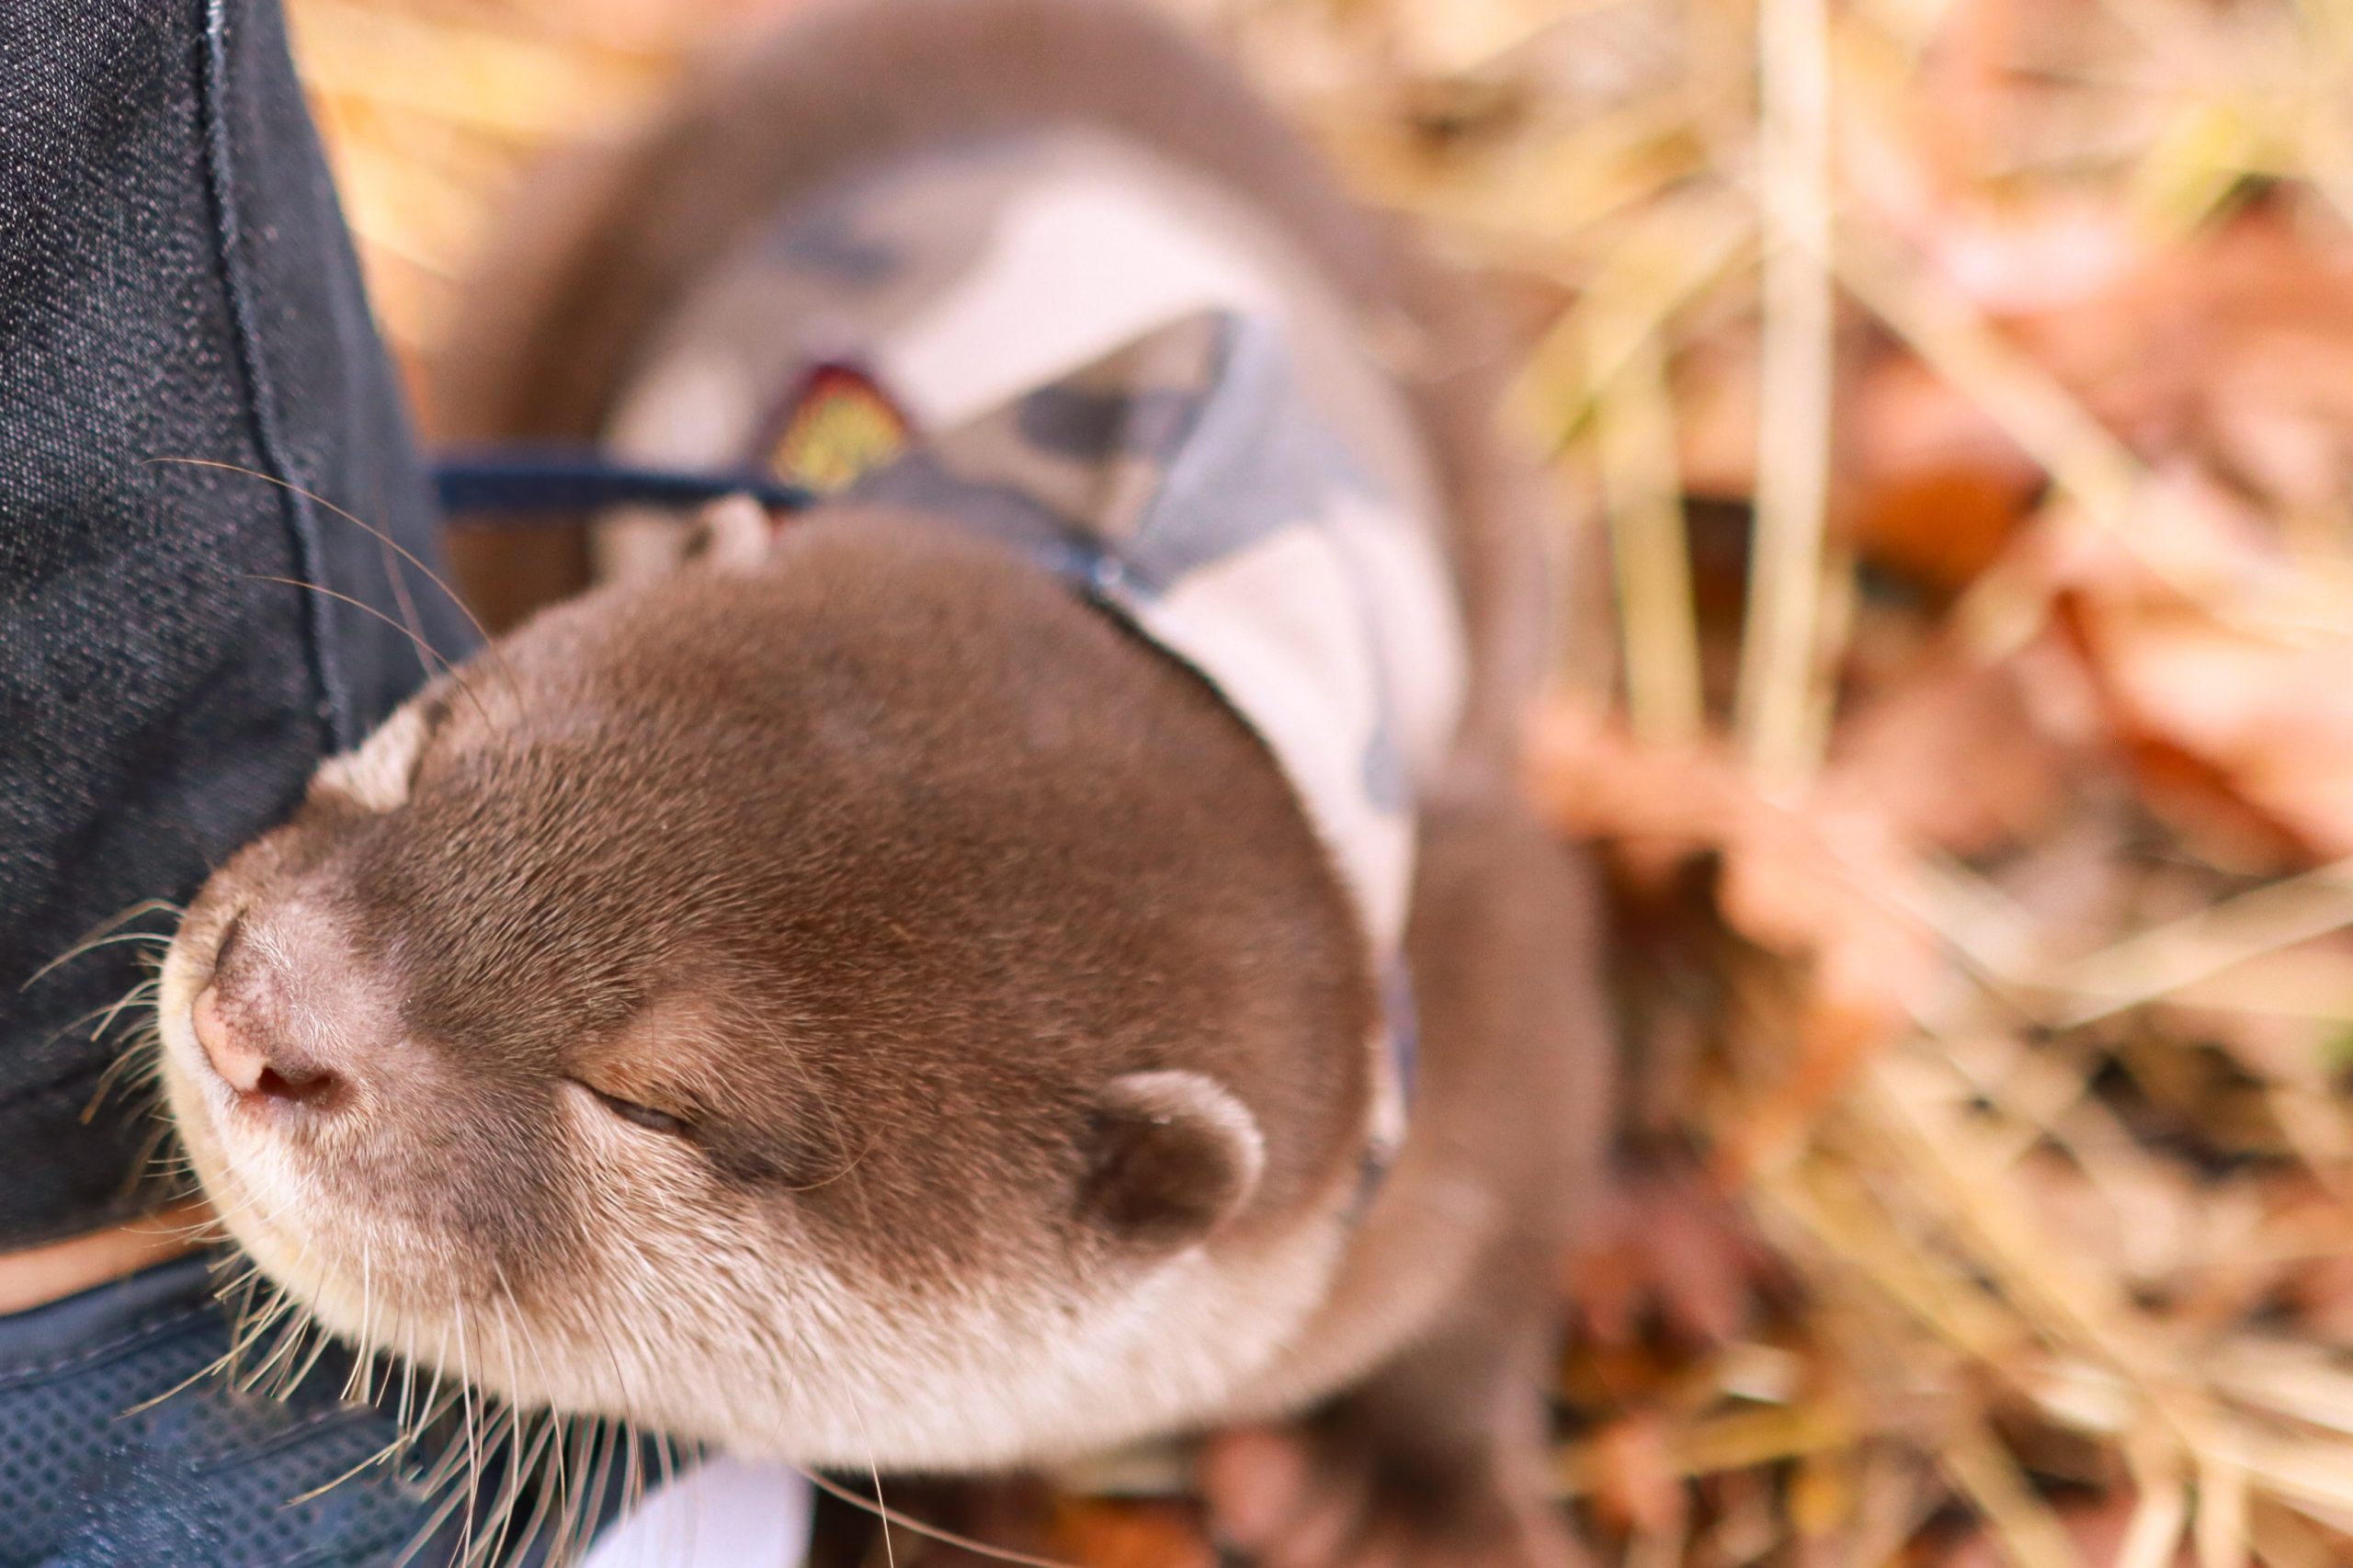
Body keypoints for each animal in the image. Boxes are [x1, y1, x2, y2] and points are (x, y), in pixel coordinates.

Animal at [152, 6, 1619, 1553]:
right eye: (430, 747)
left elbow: (1521, 1203)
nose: (258, 1004)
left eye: (653, 1106)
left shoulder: (1481, 957)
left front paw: (1421, 1493)